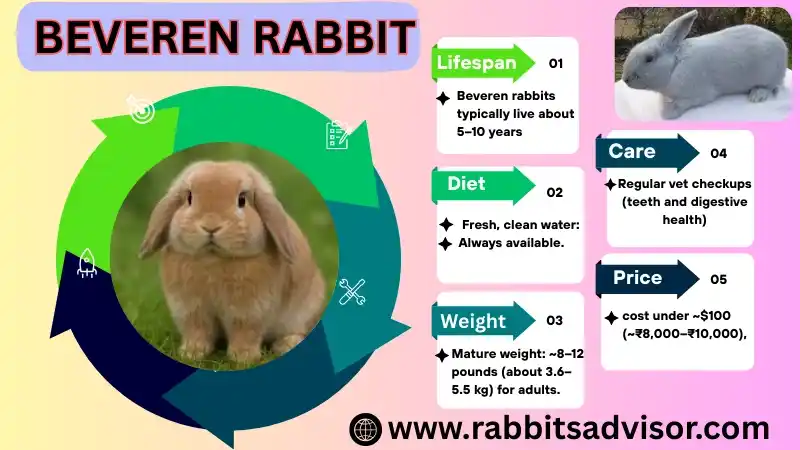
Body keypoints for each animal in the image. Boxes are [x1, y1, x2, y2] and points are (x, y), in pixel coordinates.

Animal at [138, 160, 328, 364]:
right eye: (189, 197)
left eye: (242, 200)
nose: (211, 226)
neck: (213, 260)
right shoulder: (190, 310)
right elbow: (197, 330)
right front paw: (192, 353)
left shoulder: (249, 312)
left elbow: (245, 332)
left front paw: (243, 358)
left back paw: (286, 344)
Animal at [621, 9, 788, 119]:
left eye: (649, 58)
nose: (625, 79)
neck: (675, 65)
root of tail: (782, 45)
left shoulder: (699, 95)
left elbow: (676, 107)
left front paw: (669, 112)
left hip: (769, 75)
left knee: (770, 86)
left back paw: (757, 95)